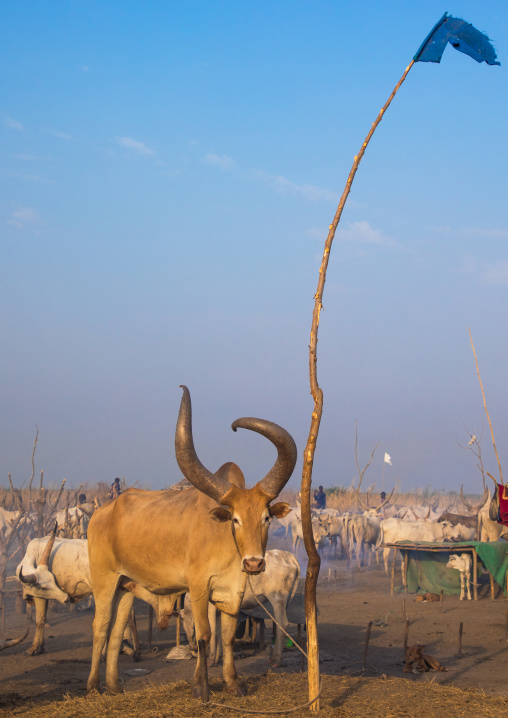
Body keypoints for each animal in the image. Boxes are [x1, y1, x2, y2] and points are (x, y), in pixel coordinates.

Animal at [86, 386, 297, 698]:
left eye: (267, 518)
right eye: (235, 519)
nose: (254, 563)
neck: (224, 541)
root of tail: (101, 513)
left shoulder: (232, 591)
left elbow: (228, 636)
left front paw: (233, 683)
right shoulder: (197, 588)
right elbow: (204, 635)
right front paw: (201, 687)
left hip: (125, 586)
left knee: (115, 631)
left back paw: (113, 686)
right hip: (104, 580)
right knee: (100, 626)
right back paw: (92, 687)